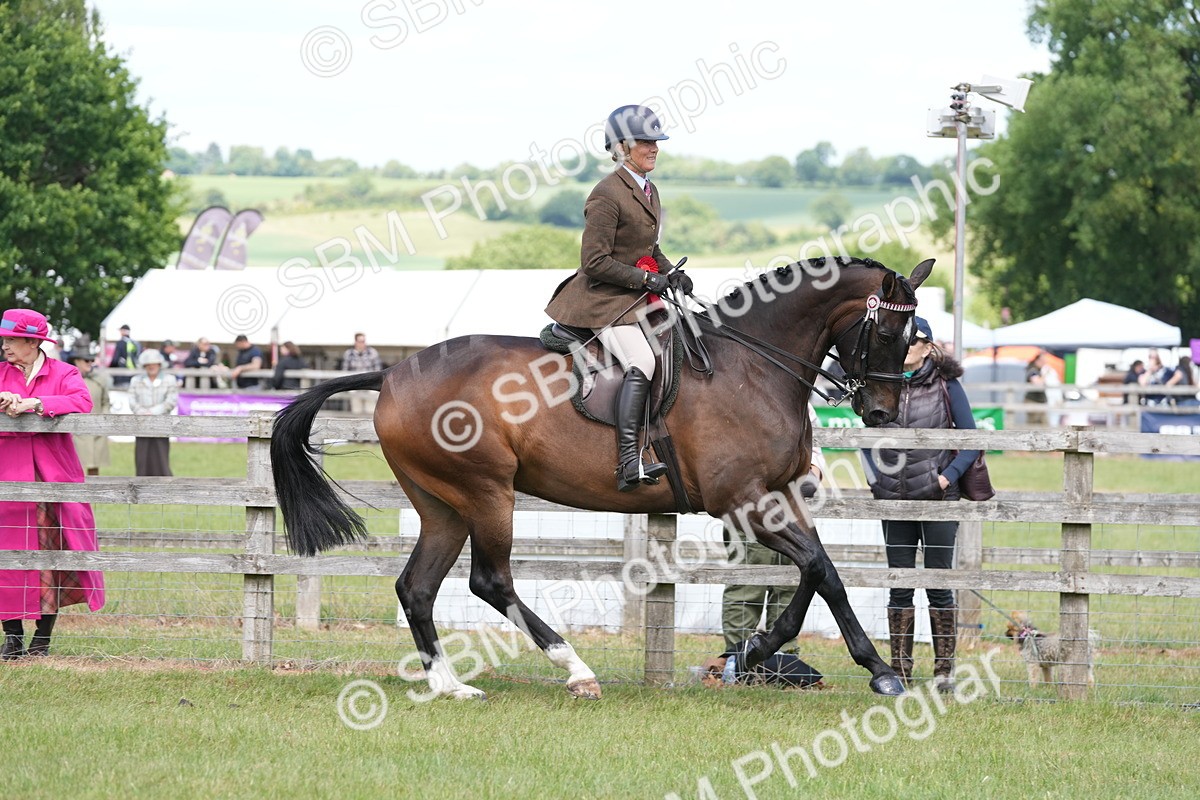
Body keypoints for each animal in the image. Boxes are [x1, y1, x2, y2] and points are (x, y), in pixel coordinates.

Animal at [272, 256, 935, 700]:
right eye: (886, 332)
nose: (881, 412)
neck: (753, 365)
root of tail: (392, 374)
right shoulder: (743, 502)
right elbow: (819, 569)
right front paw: (865, 669)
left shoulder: (778, 498)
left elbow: (820, 573)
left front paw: (768, 654)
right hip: (485, 492)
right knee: (489, 580)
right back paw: (576, 670)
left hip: (442, 504)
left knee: (417, 587)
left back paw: (451, 685)